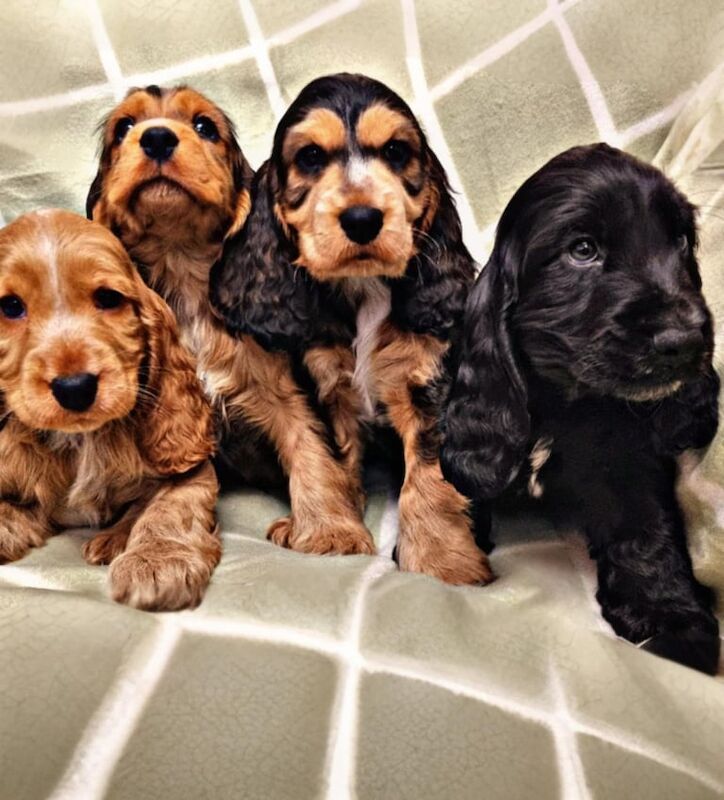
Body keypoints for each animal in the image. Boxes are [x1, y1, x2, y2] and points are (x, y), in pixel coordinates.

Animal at [0, 209, 221, 608]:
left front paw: (155, 562)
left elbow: (170, 507)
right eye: (10, 307)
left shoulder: (194, 470)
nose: (75, 387)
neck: (81, 440)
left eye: (108, 298)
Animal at [87, 83, 376, 556]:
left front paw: (333, 531)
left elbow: (312, 452)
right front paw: (124, 529)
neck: (183, 267)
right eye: (124, 127)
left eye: (205, 126)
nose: (157, 137)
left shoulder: (285, 389)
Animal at [209, 73, 492, 588]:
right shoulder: (326, 384)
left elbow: (428, 479)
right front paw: (332, 532)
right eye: (310, 157)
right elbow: (334, 458)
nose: (363, 219)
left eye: (397, 151)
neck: (363, 291)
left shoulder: (427, 383)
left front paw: (443, 562)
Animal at [442, 145, 720, 676]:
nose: (684, 340)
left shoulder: (630, 455)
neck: (563, 402)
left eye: (679, 242)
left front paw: (669, 616)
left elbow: (646, 525)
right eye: (583, 249)